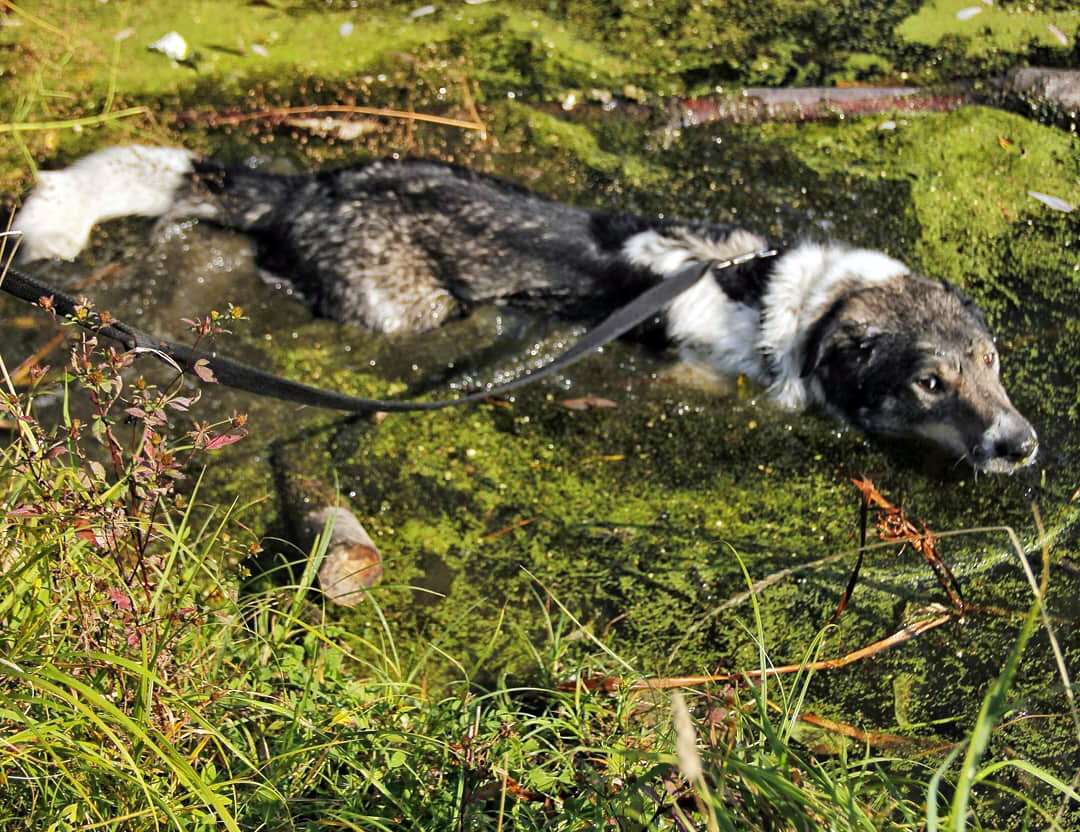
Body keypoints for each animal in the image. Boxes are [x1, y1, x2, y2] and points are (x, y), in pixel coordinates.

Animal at [8, 144, 1036, 473]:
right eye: (930, 381)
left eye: (990, 360)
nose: (1021, 447)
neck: (805, 307)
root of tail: (309, 187)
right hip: (402, 307)